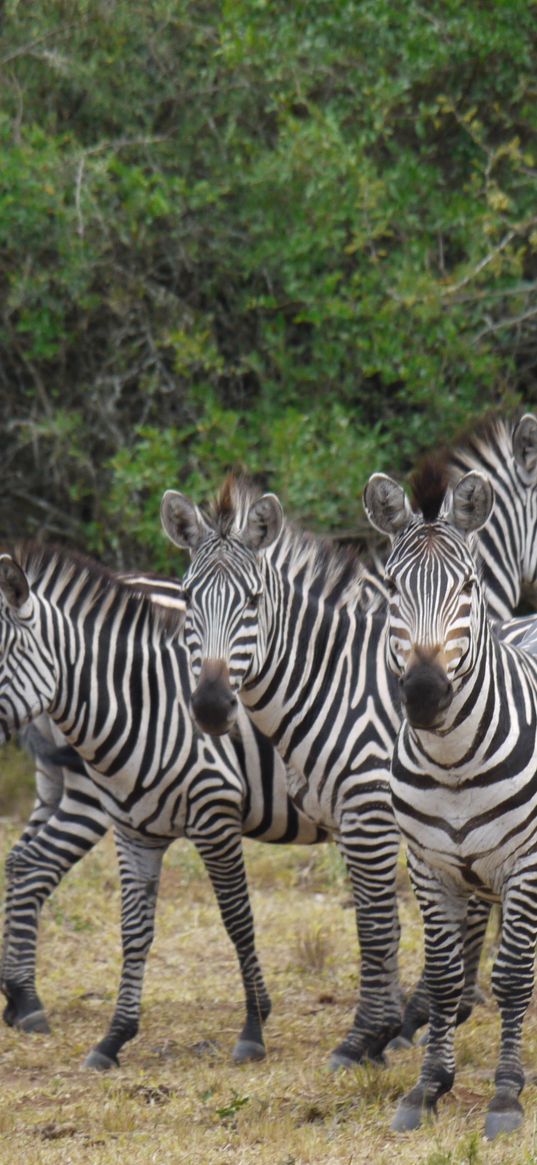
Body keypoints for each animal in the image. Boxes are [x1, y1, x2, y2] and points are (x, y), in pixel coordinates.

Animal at [0, 547, 326, 1071]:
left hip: (57, 784)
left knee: (23, 862)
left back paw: (20, 998)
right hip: (81, 790)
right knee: (31, 862)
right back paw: (24, 1000)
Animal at [361, 461, 537, 1137]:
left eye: (468, 586)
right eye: (391, 587)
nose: (424, 693)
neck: (454, 760)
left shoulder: (525, 865)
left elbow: (512, 977)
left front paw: (507, 1094)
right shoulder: (429, 866)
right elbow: (441, 978)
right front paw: (428, 1086)